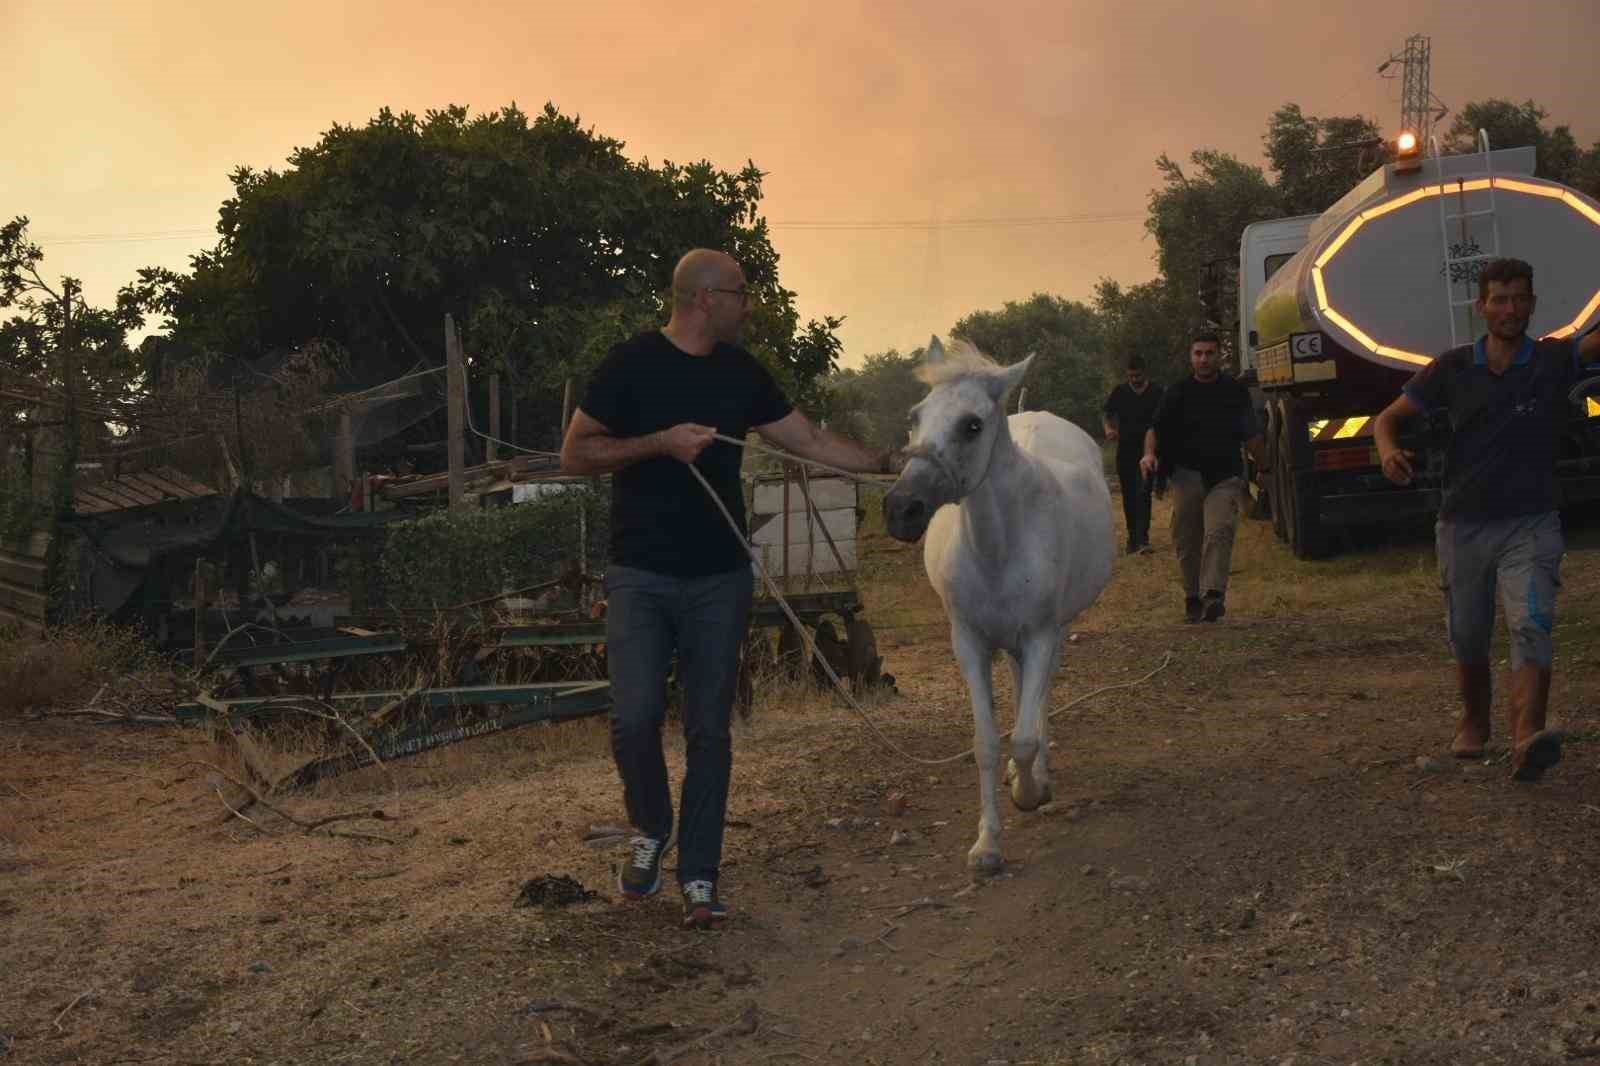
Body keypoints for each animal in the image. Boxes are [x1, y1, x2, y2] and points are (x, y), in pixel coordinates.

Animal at [876, 336, 1113, 870]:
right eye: (915, 416)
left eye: (972, 425)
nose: (901, 510)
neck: (998, 547)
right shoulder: (969, 643)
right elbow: (984, 743)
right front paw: (987, 844)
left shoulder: (1042, 634)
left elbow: (1023, 735)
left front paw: (1029, 793)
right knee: (1022, 685)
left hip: (1054, 632)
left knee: (1039, 699)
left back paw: (1039, 775)